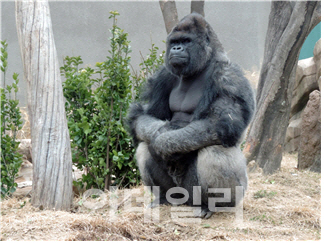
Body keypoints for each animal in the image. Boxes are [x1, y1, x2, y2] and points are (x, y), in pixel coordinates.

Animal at [127, 12, 256, 218]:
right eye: (174, 42)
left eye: (186, 41)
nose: (176, 48)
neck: (202, 63)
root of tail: (187, 201)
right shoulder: (163, 76)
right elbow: (146, 116)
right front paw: (160, 133)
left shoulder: (229, 77)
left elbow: (219, 123)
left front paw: (163, 141)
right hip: (179, 193)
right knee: (144, 146)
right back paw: (164, 197)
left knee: (215, 151)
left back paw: (211, 205)